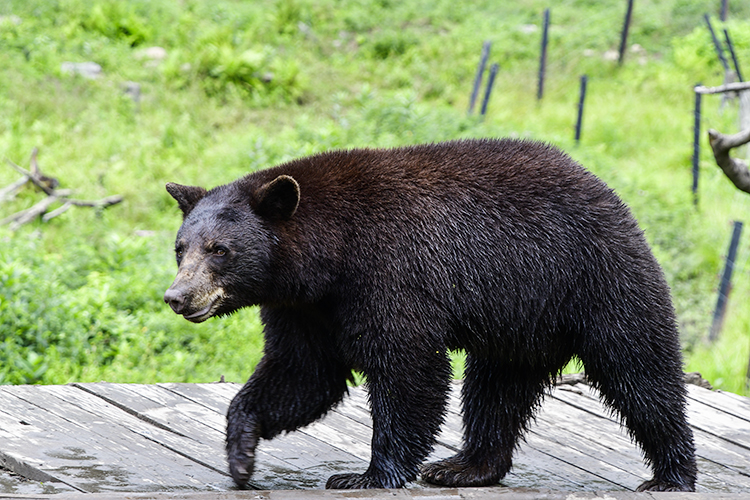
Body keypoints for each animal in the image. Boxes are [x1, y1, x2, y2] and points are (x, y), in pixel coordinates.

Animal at [164, 138, 700, 492]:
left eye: (220, 250)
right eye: (181, 247)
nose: (177, 296)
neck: (330, 257)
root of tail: (606, 190)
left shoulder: (390, 273)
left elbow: (408, 366)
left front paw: (368, 474)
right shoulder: (304, 309)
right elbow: (302, 373)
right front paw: (241, 455)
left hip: (596, 282)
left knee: (640, 371)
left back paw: (672, 473)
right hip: (520, 321)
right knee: (496, 390)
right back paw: (465, 466)